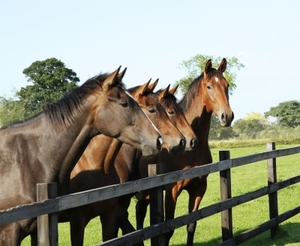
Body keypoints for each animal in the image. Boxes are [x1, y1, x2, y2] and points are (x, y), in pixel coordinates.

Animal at [136, 58, 234, 246]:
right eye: (209, 86)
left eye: (227, 85)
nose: (227, 116)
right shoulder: (172, 190)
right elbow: (168, 231)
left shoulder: (199, 187)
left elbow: (191, 224)